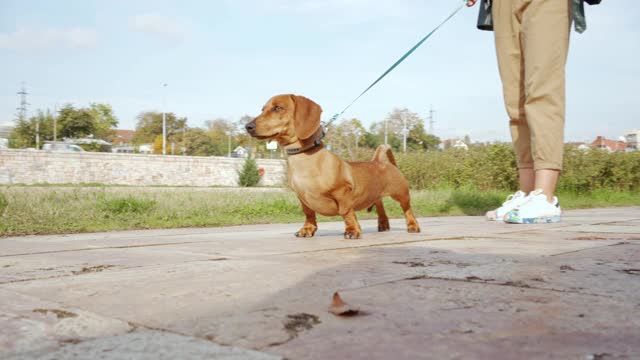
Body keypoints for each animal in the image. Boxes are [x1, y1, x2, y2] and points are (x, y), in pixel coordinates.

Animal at [245, 95, 420, 239]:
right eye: (263, 109)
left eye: (277, 108)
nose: (248, 126)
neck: (305, 159)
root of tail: (379, 161)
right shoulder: (302, 198)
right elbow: (309, 214)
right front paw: (307, 229)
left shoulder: (342, 193)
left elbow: (346, 212)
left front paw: (352, 230)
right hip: (376, 195)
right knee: (380, 205)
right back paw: (383, 224)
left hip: (401, 194)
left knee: (408, 209)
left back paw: (413, 226)